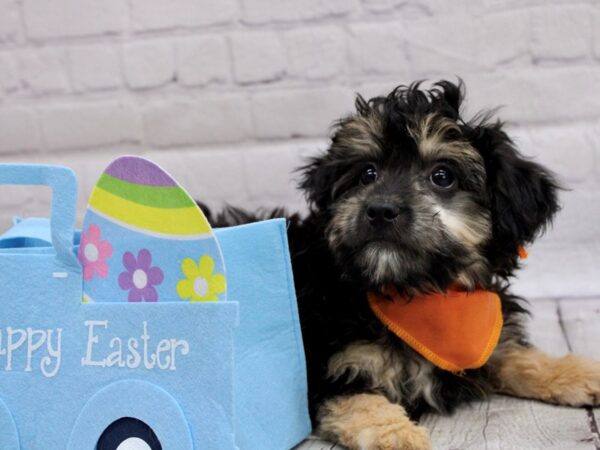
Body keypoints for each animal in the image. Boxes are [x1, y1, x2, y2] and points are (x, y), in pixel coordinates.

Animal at [210, 81, 600, 450]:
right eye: (367, 173)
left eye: (442, 176)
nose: (380, 209)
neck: (415, 292)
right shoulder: (326, 369)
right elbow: (359, 401)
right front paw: (396, 435)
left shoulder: (484, 341)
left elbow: (518, 355)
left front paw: (577, 371)